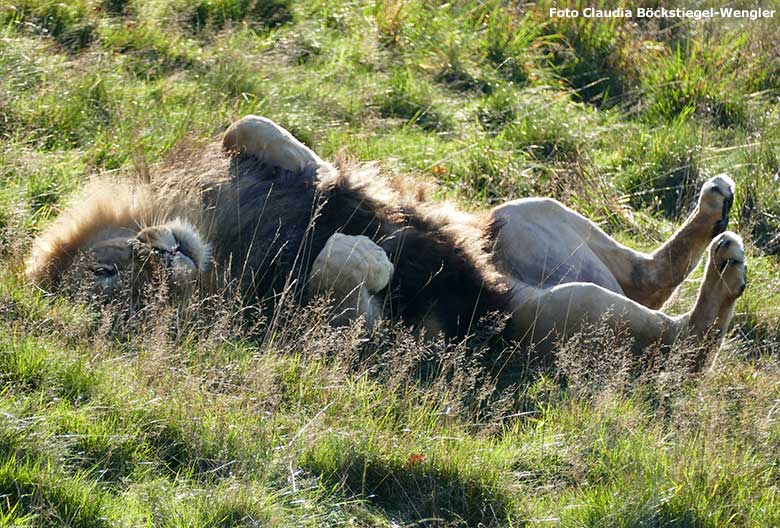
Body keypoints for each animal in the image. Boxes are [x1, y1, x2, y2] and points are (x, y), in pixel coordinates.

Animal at [22, 114, 744, 368]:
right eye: (127, 293)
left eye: (107, 270)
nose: (163, 255)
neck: (218, 246)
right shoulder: (339, 327)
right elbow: (337, 276)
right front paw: (366, 257)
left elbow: (248, 126)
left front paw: (308, 163)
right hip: (553, 314)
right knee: (683, 341)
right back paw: (726, 273)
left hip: (518, 216)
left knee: (649, 275)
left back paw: (716, 209)